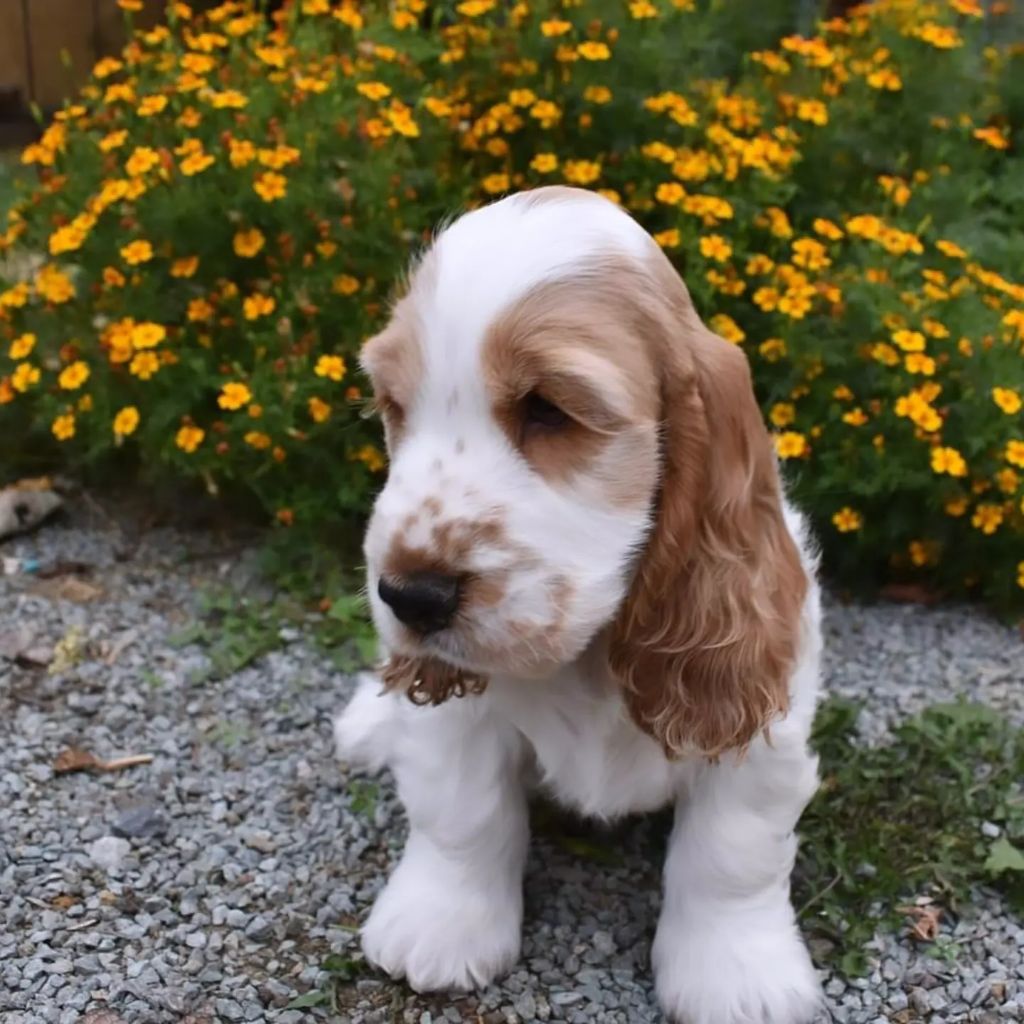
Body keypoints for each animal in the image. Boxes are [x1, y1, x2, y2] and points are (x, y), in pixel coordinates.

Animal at [335, 186, 823, 1024]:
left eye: (548, 409)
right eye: (395, 406)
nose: (406, 594)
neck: (591, 651)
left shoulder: (764, 722)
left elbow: (731, 855)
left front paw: (736, 975)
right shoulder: (460, 721)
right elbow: (462, 814)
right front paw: (440, 928)